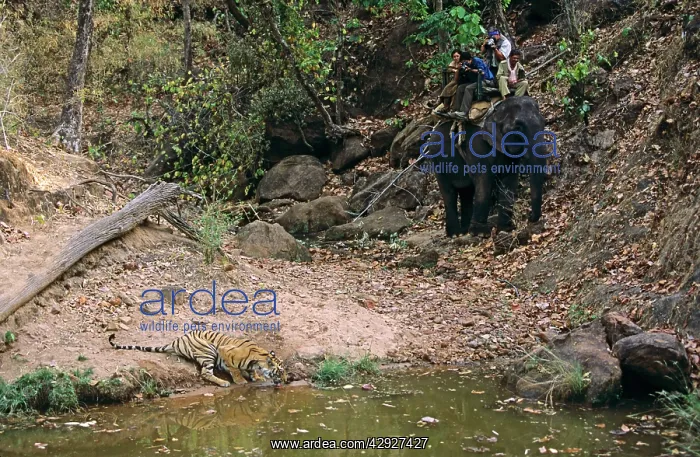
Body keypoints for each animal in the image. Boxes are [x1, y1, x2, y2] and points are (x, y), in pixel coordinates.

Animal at [108, 331, 287, 387]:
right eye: (280, 372)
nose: (288, 380)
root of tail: (176, 340)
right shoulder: (225, 351)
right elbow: (235, 369)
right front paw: (240, 380)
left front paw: (257, 377)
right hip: (209, 350)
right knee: (205, 373)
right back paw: (223, 382)